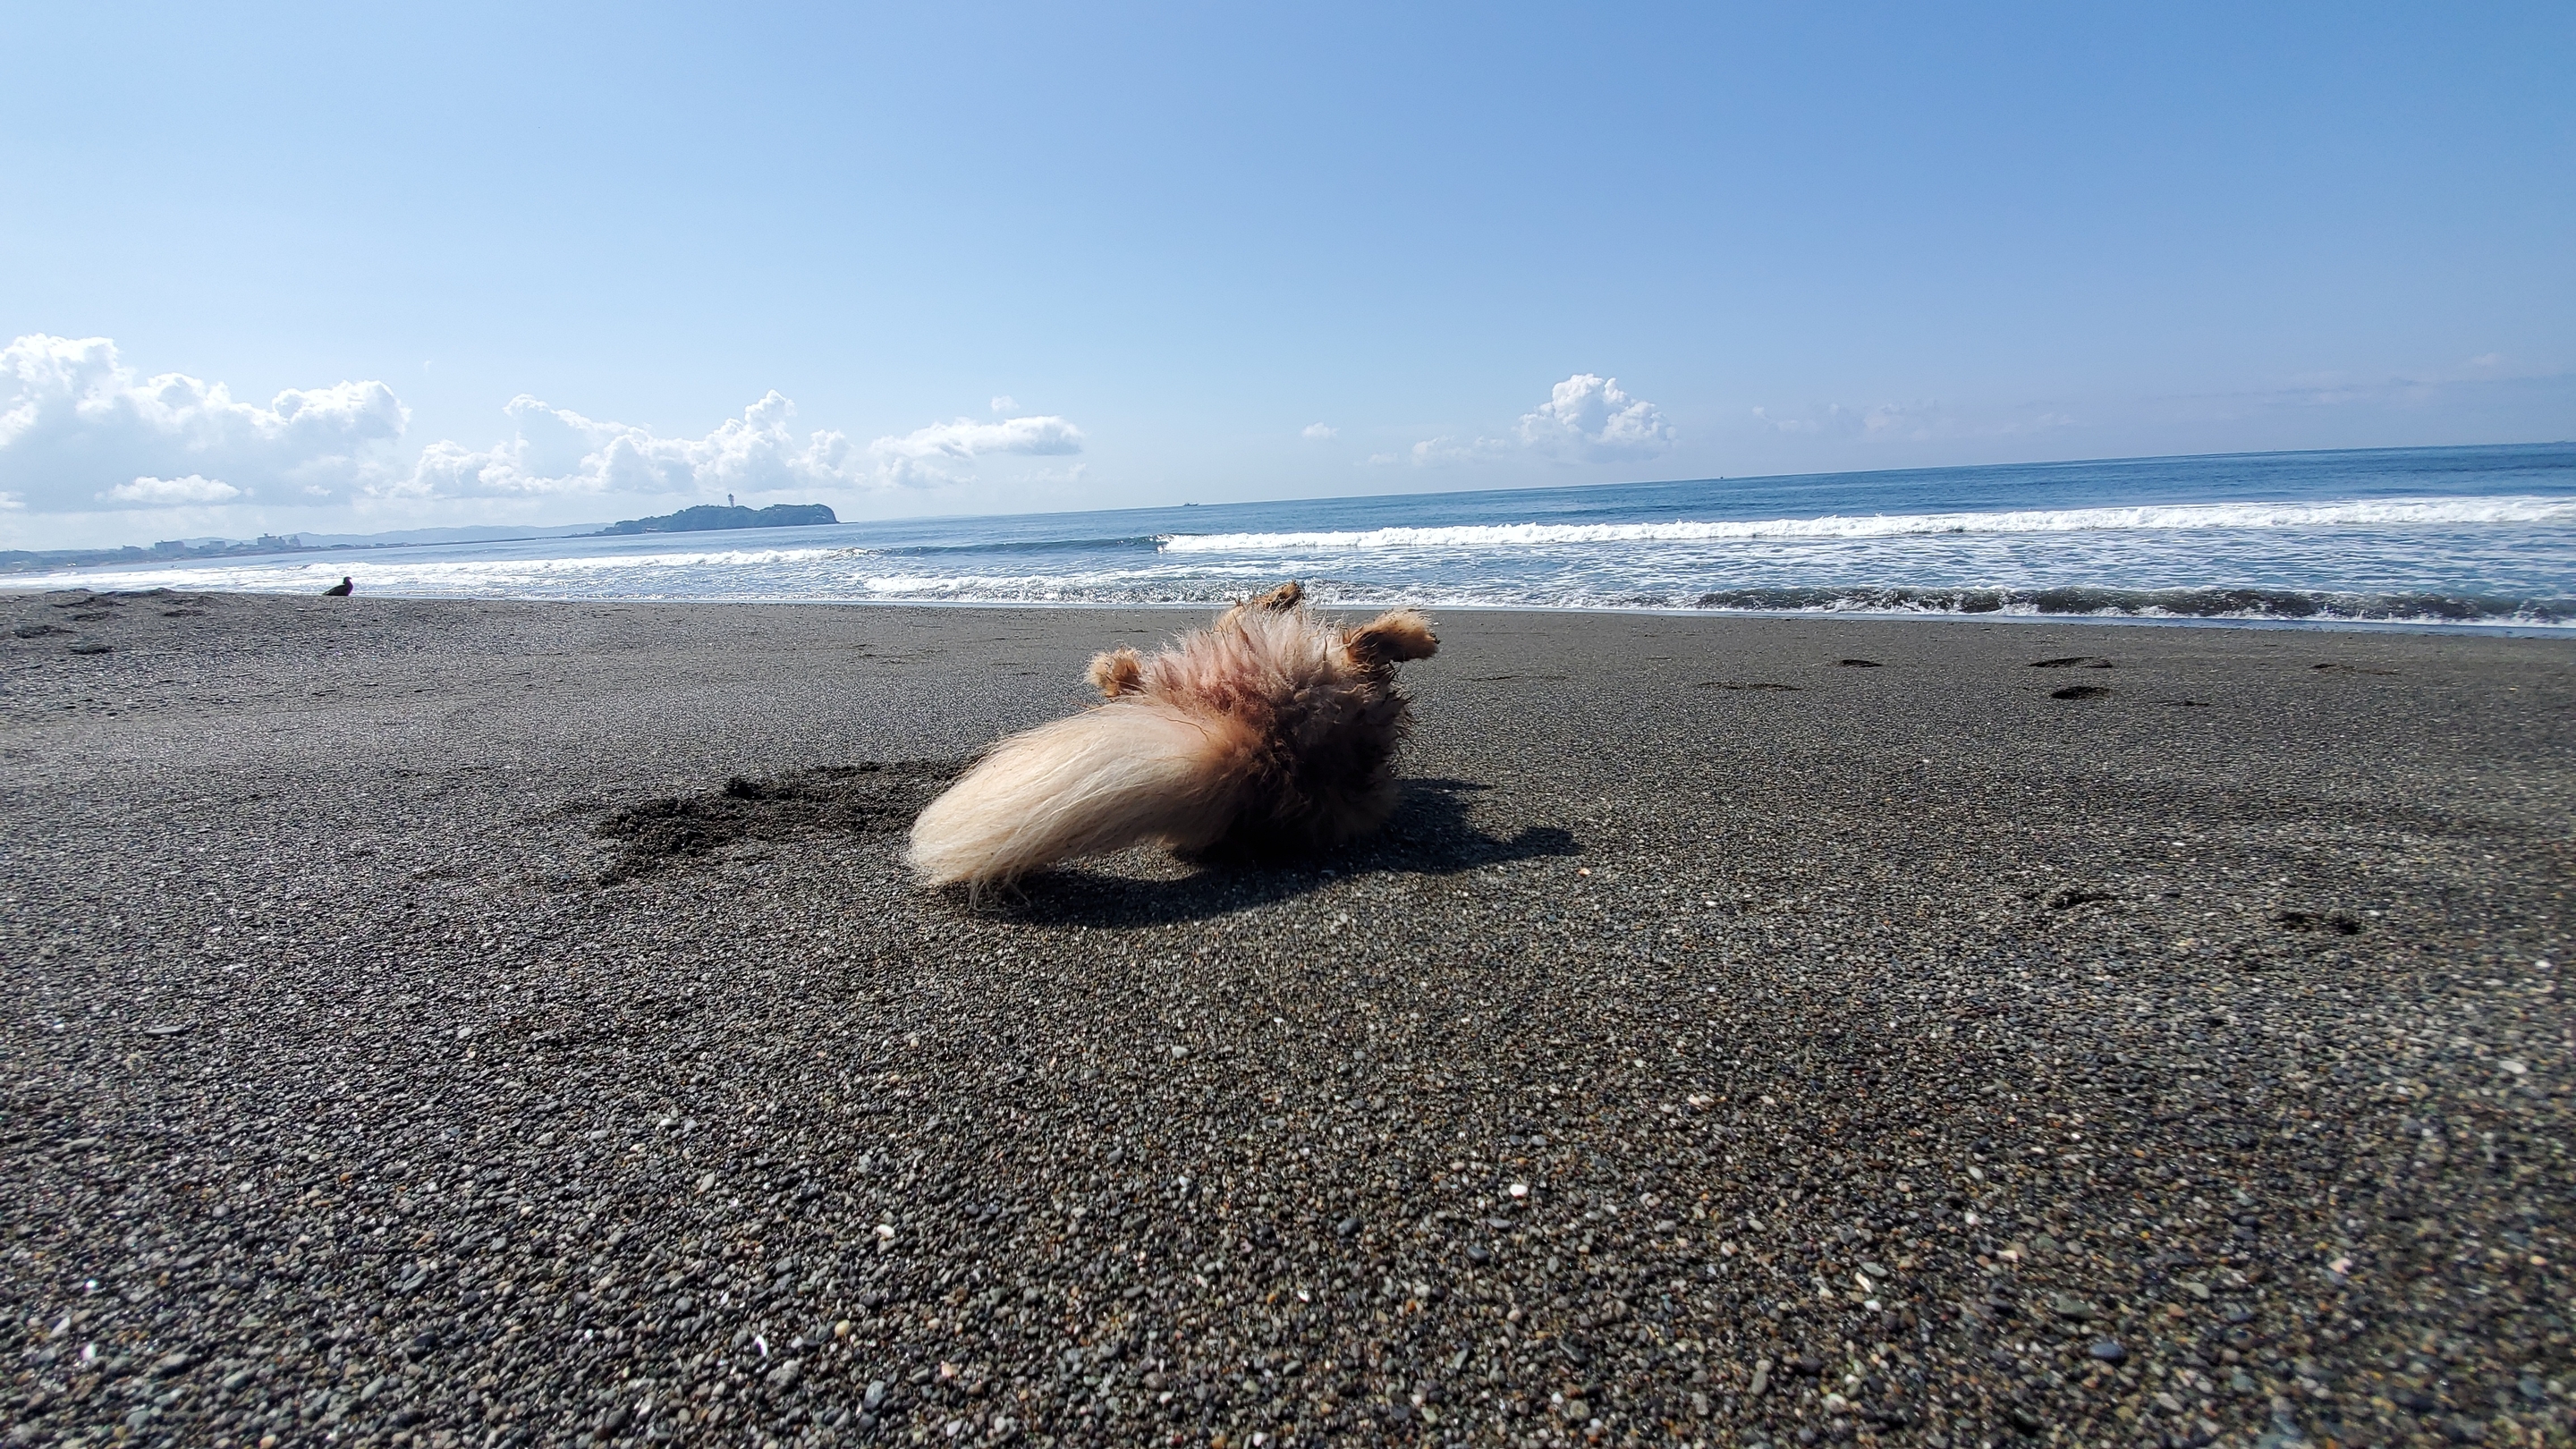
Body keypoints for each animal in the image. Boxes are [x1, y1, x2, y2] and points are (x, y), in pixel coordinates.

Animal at [911, 580, 1442, 886]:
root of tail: (1257, 746)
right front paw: (1283, 595)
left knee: (1125, 681)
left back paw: (1111, 666)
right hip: (1333, 678)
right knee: (1363, 648)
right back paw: (1409, 632)